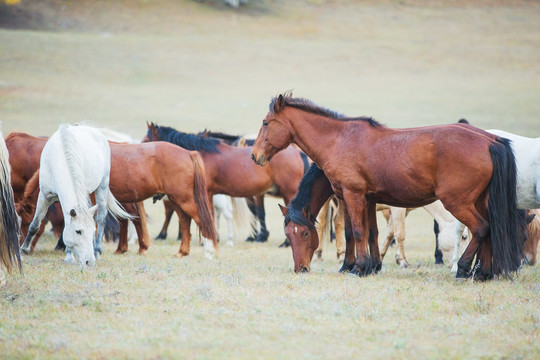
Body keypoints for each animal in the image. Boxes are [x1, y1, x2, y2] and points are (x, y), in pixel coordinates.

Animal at [20, 125, 132, 266]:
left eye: (92, 231)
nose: (89, 261)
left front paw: (69, 255)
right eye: (78, 231)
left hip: (102, 186)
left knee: (101, 218)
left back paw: (97, 251)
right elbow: (35, 224)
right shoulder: (45, 195)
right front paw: (23, 249)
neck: (61, 159)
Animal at [253, 91, 528, 280]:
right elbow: (368, 232)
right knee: (491, 229)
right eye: (288, 235)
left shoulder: (352, 195)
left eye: (266, 123)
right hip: (480, 201)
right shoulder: (366, 199)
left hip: (458, 202)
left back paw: (463, 269)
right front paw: (369, 266)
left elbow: (357, 232)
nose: (255, 156)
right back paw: (482, 273)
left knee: (481, 228)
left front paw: (357, 268)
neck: (339, 140)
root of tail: (490, 141)